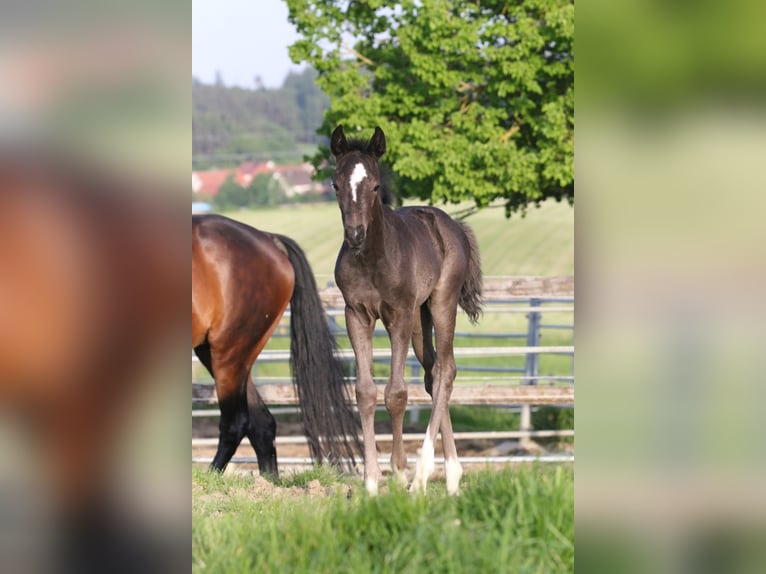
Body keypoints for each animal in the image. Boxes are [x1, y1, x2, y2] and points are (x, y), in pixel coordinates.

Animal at [332, 128, 484, 498]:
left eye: (375, 186)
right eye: (336, 185)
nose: (354, 234)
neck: (372, 258)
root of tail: (453, 225)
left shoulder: (396, 315)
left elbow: (396, 393)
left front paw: (399, 473)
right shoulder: (356, 314)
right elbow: (365, 392)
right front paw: (371, 481)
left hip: (441, 303)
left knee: (447, 370)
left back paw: (423, 475)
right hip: (420, 316)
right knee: (433, 374)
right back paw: (452, 476)